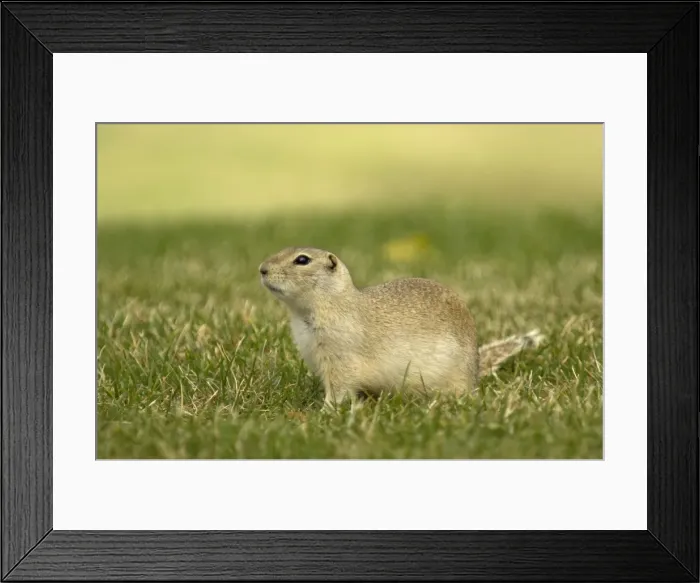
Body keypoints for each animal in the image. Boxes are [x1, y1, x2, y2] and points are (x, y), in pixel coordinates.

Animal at [259, 247, 544, 408]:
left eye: (302, 260)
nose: (262, 268)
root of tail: (475, 371)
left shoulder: (340, 357)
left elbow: (339, 388)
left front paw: (325, 410)